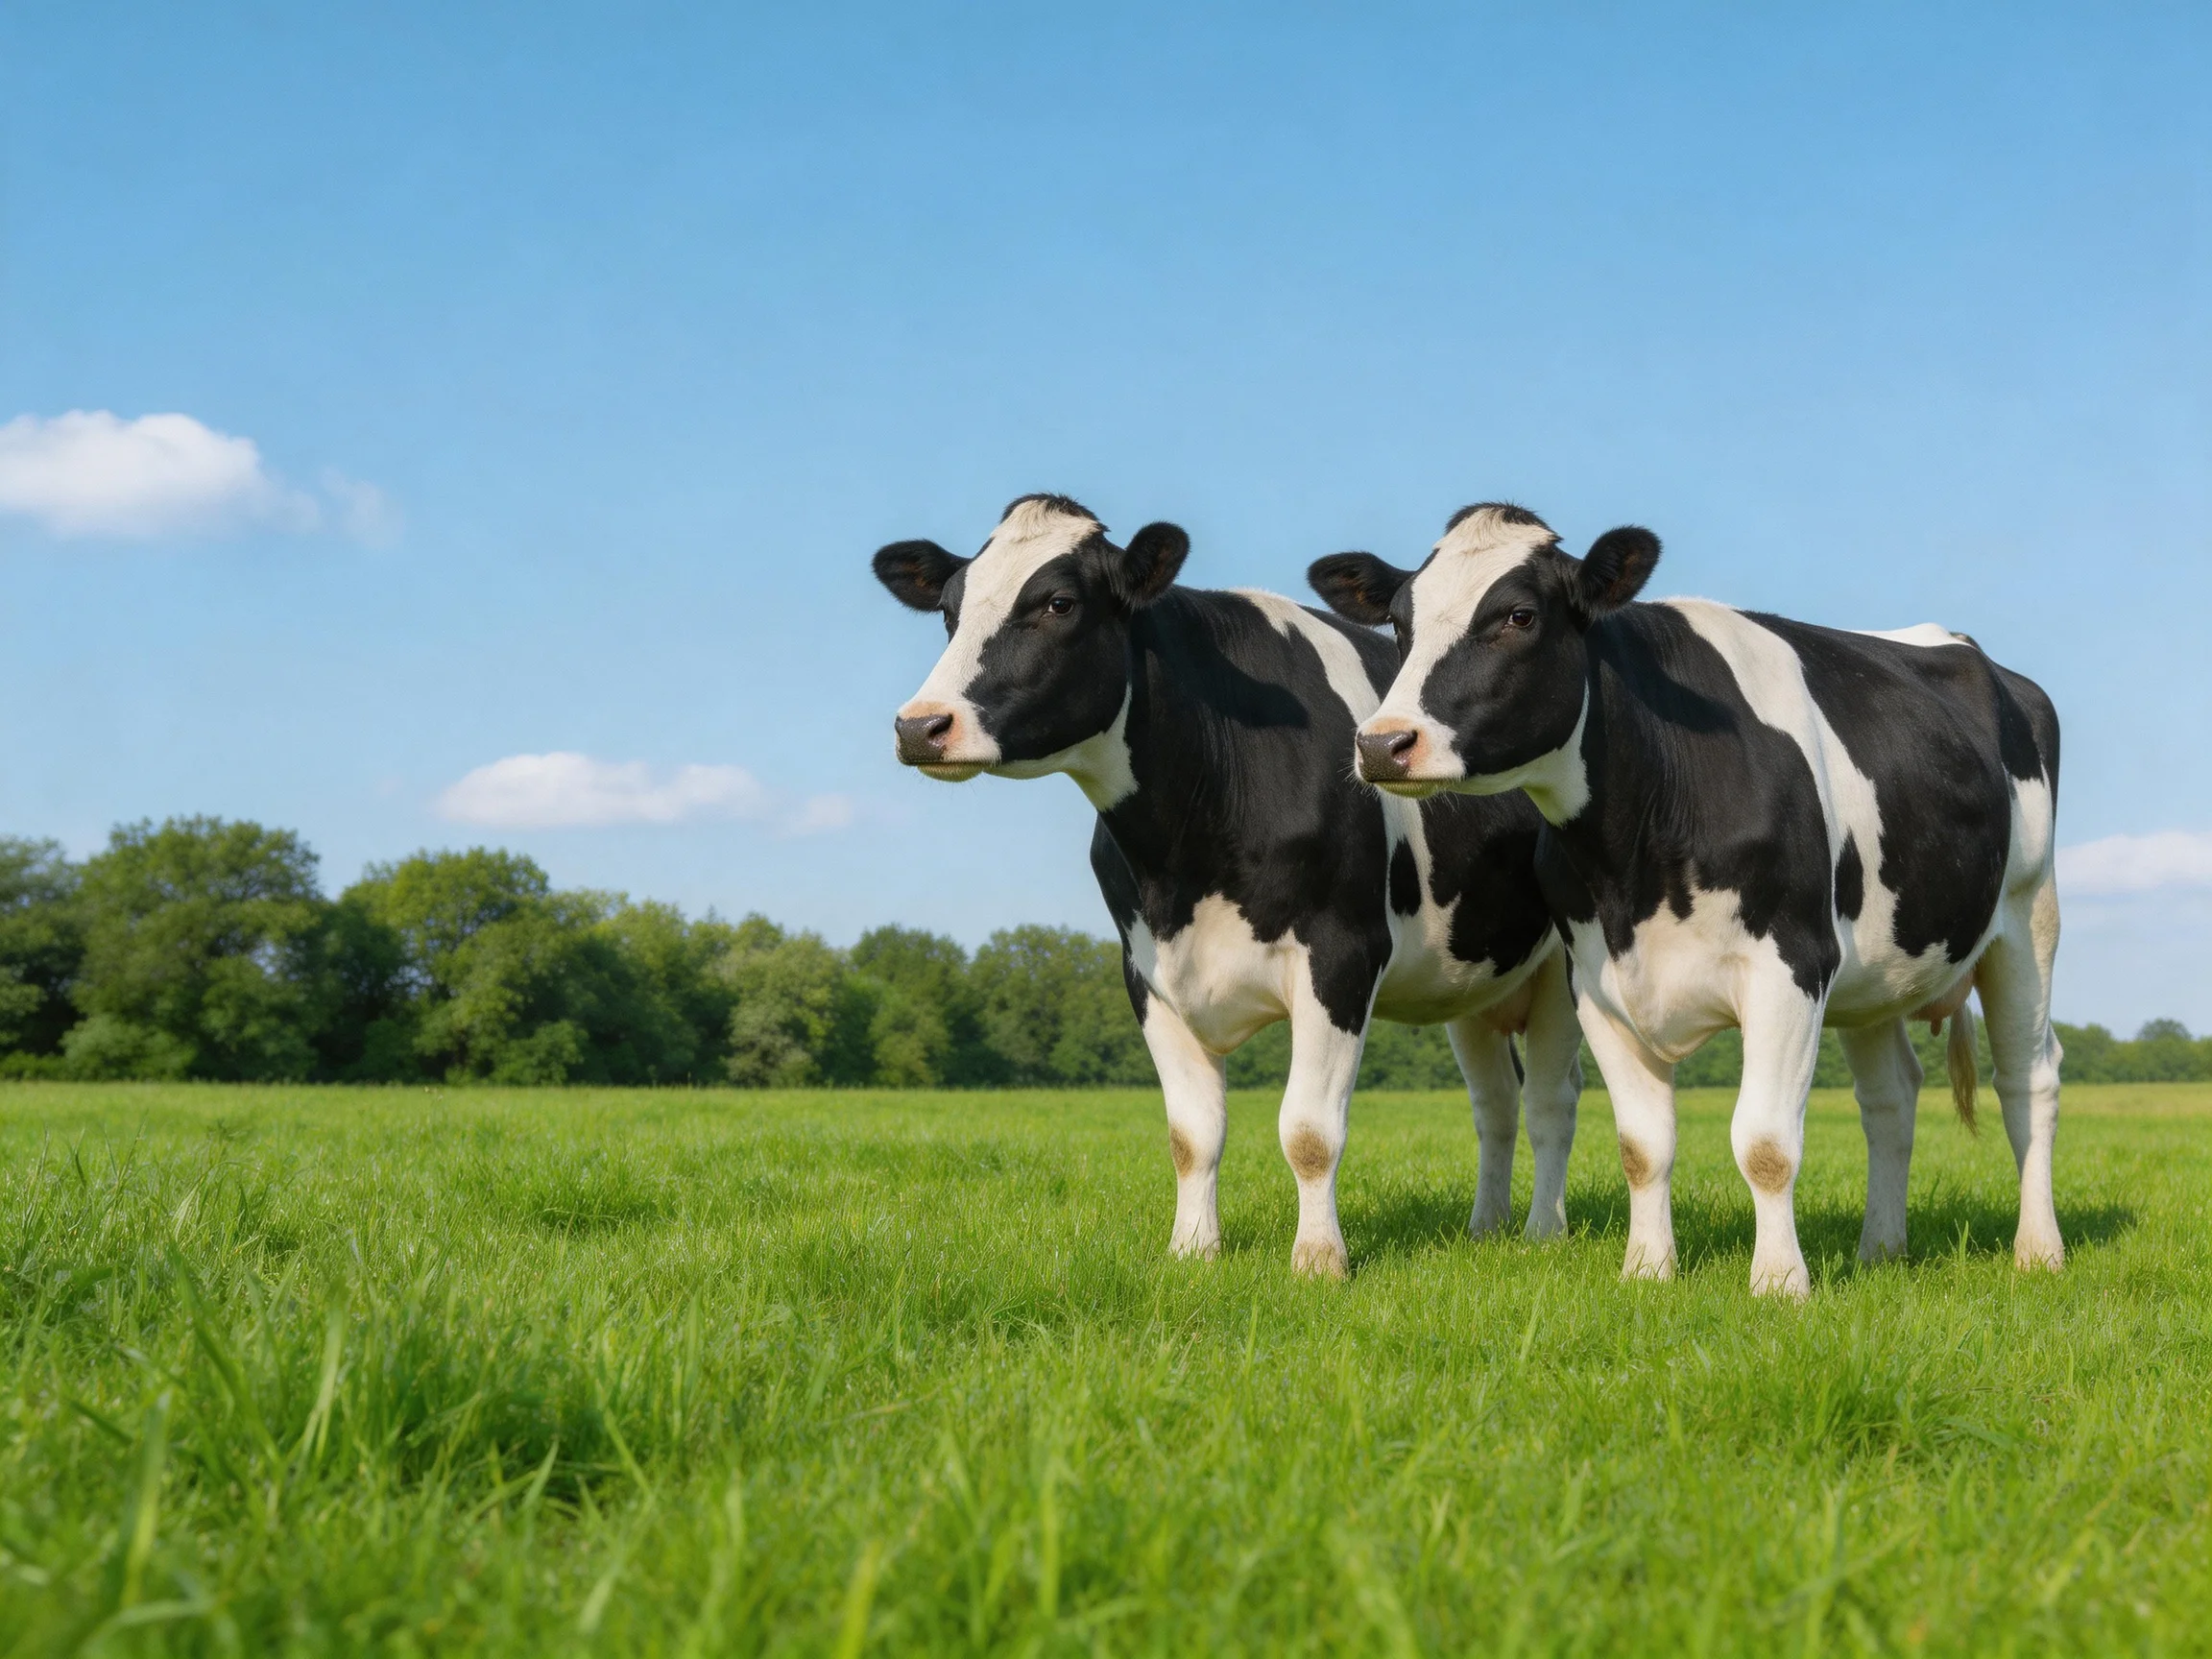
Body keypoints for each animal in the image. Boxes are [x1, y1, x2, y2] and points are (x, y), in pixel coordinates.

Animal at [873, 493, 1585, 1277]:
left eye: (1058, 602)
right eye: (949, 609)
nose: (920, 726)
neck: (1183, 856)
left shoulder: (1341, 953)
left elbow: (1309, 1130)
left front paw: (1318, 1261)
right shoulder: (1147, 972)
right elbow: (1192, 1134)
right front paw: (1192, 1250)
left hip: (1565, 964)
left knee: (1552, 1102)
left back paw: (1543, 1232)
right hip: (1470, 976)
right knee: (1497, 1104)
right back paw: (1485, 1229)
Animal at [1310, 503, 2063, 1297]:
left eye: (1518, 615)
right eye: (1400, 622)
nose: (1383, 743)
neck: (1636, 855)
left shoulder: (1791, 966)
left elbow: (1765, 1141)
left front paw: (1779, 1283)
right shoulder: (1599, 983)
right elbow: (1643, 1146)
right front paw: (1647, 1270)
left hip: (2028, 920)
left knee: (2030, 1080)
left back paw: (2038, 1249)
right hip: (1879, 972)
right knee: (1891, 1097)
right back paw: (1881, 1249)